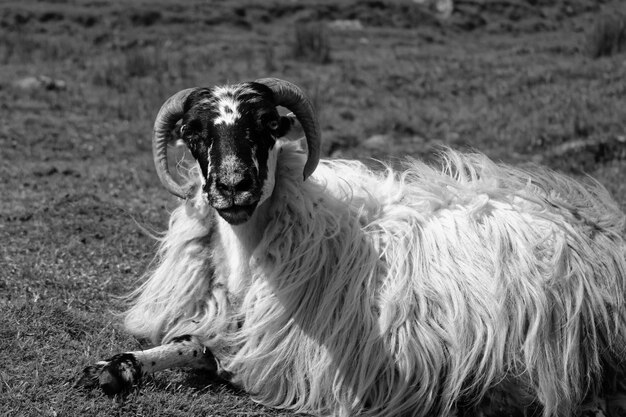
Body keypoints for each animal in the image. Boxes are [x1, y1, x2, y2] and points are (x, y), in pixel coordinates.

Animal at [78, 77, 624, 412]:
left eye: (268, 127)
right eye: (194, 131)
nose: (234, 187)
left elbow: (217, 360)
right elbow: (185, 343)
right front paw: (110, 368)